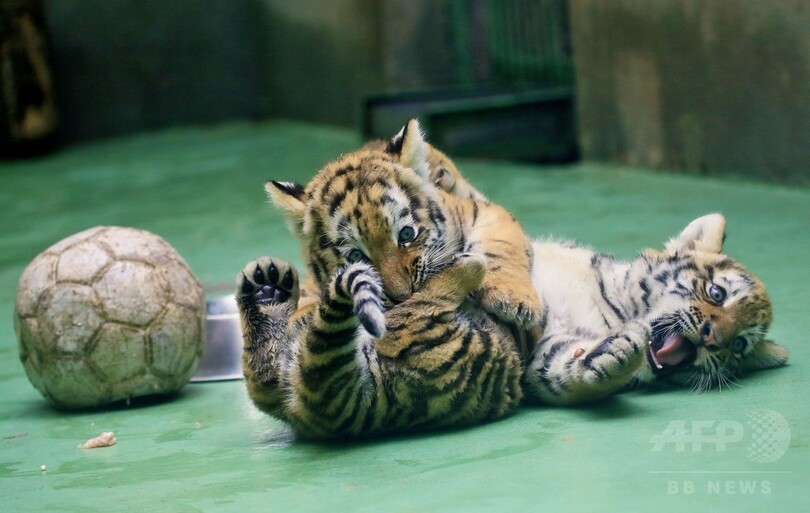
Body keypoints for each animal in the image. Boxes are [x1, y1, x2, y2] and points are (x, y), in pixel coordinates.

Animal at [236, 121, 540, 439]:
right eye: (356, 254)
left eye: (406, 234)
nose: (402, 296)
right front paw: (300, 316)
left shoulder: (483, 212)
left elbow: (499, 246)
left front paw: (515, 301)